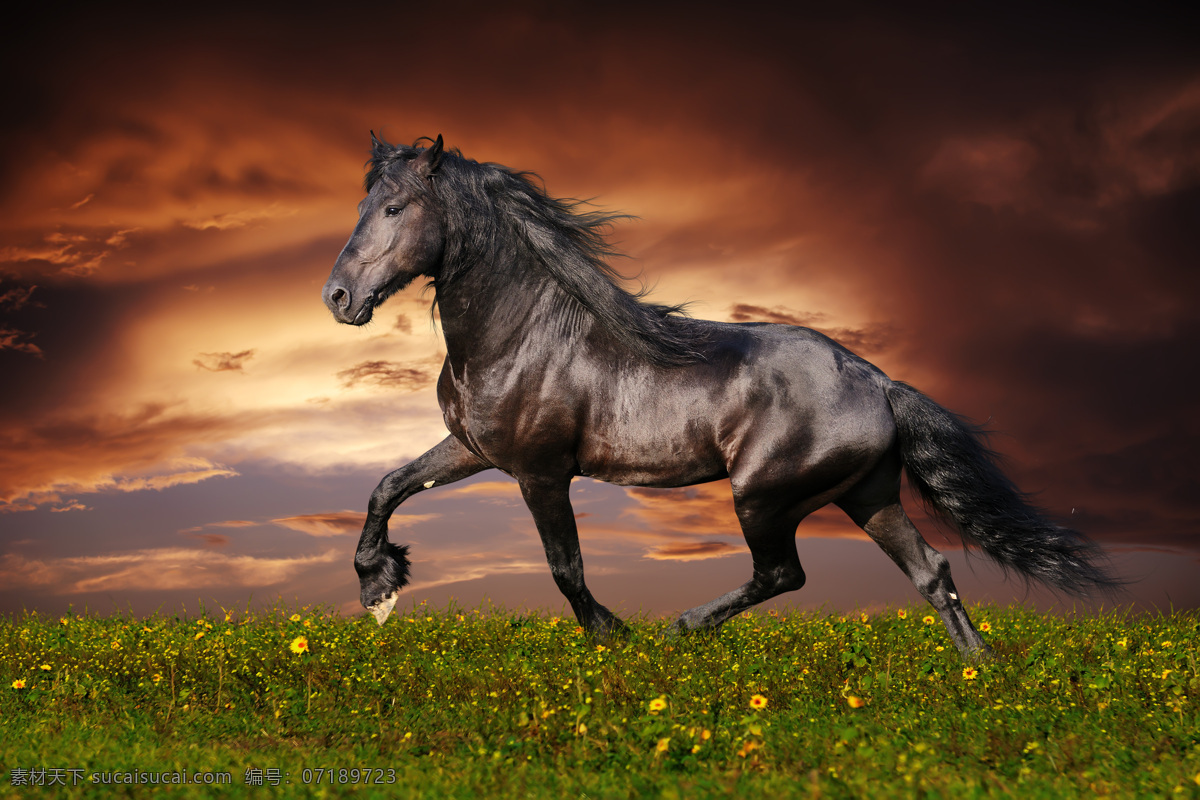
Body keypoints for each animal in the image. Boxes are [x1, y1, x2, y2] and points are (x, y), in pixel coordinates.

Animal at [321, 134, 1113, 662]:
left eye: (393, 208)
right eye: (361, 202)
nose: (338, 298)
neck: (521, 334)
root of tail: (879, 383)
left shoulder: (540, 471)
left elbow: (565, 567)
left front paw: (614, 635)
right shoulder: (474, 448)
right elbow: (387, 485)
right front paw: (378, 587)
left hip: (763, 495)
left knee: (784, 573)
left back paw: (684, 626)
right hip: (869, 495)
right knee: (932, 573)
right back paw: (979, 670)